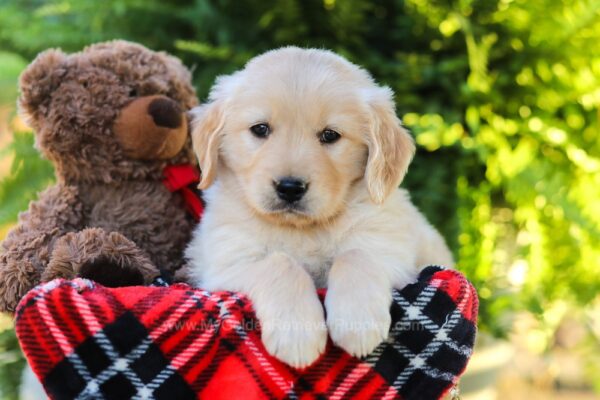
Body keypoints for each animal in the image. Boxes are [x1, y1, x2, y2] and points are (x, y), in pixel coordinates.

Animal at [185, 47, 452, 368]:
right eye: (260, 129)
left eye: (330, 135)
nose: (290, 188)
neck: (303, 229)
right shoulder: (224, 266)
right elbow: (280, 263)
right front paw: (297, 333)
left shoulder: (394, 254)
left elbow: (355, 255)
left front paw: (356, 322)